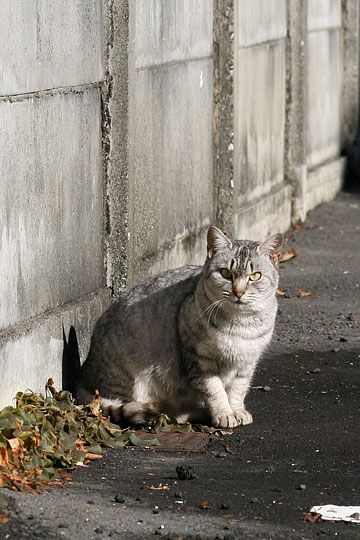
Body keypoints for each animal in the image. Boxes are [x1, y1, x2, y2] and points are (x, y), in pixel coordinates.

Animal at [75, 226, 284, 428]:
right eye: (226, 273)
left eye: (255, 276)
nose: (238, 292)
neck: (239, 322)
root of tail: (83, 376)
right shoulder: (199, 359)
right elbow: (215, 391)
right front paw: (224, 414)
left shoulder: (247, 363)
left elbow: (238, 390)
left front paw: (237, 410)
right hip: (129, 380)